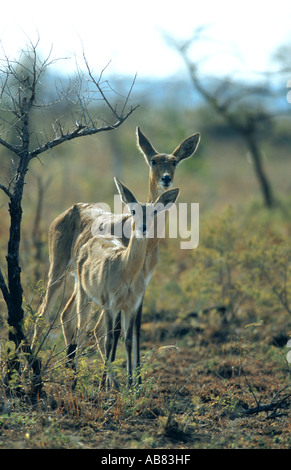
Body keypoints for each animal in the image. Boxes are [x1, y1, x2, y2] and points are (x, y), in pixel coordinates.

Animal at [74, 178, 179, 388]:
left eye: (154, 211)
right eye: (133, 211)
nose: (143, 227)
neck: (125, 270)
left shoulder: (130, 306)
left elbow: (128, 339)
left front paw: (131, 384)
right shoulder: (110, 305)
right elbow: (109, 340)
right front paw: (104, 386)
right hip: (84, 294)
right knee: (81, 328)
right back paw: (76, 380)